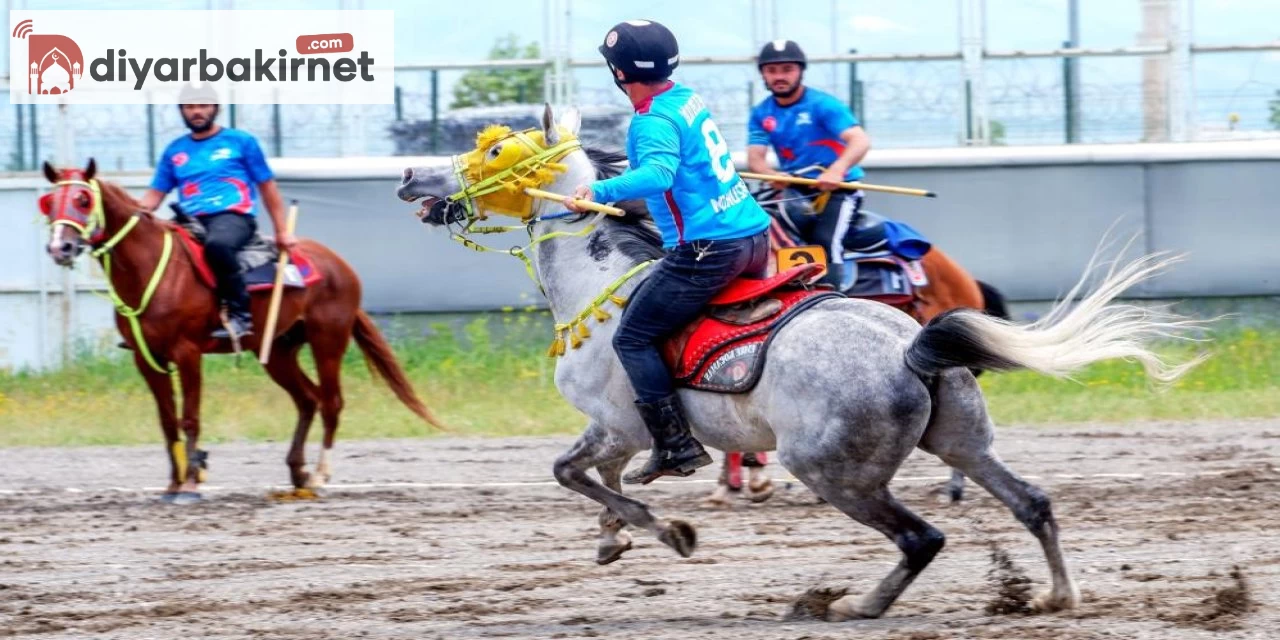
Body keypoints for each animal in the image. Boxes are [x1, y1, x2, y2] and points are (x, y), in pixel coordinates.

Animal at [41, 157, 445, 501]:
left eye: (82, 199)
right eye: (48, 202)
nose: (61, 247)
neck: (153, 268)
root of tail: (339, 265)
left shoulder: (187, 353)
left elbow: (190, 417)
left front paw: (191, 483)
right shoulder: (147, 359)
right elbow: (168, 421)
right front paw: (173, 483)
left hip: (328, 340)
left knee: (331, 402)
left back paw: (318, 475)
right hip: (278, 352)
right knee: (308, 400)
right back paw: (297, 472)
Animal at [396, 106, 1198, 619]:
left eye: (493, 152)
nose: (409, 176)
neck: (601, 286)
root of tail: (909, 346)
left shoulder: (618, 423)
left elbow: (576, 472)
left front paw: (664, 530)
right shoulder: (619, 433)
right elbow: (600, 481)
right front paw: (616, 537)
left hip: (831, 469)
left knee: (922, 537)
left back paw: (852, 604)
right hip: (963, 441)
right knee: (1031, 501)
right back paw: (1059, 596)